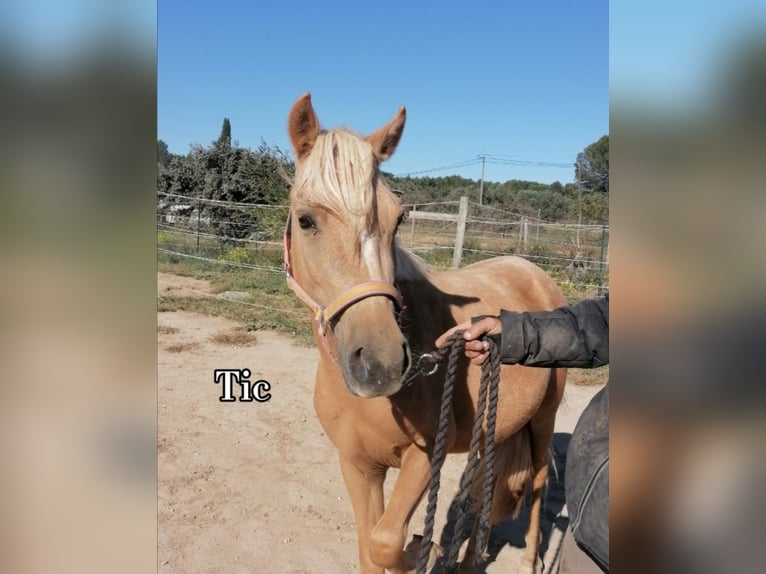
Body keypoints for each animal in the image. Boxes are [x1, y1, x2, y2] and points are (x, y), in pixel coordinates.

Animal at [284, 92, 568, 572]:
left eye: (398, 219)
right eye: (306, 220)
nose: (381, 363)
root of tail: (535, 273)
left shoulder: (423, 459)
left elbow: (386, 542)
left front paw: (421, 546)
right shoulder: (357, 465)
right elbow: (369, 546)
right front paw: (427, 548)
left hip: (544, 420)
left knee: (536, 486)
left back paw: (527, 560)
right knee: (484, 491)